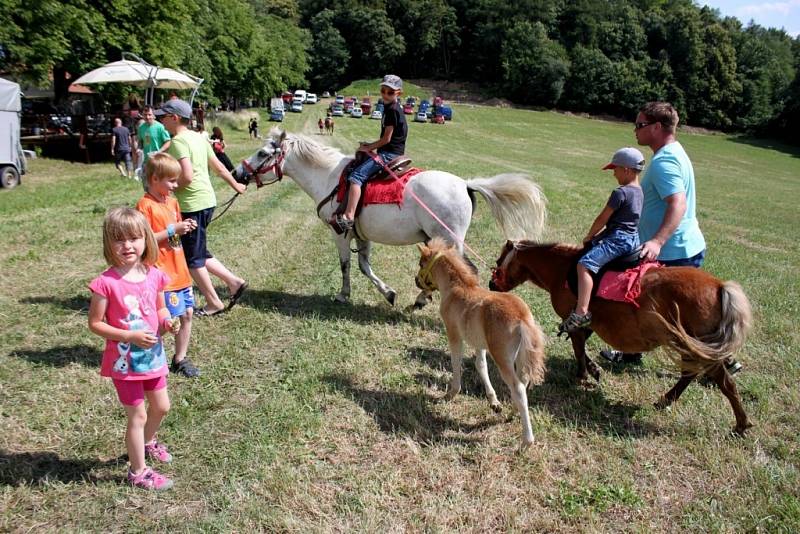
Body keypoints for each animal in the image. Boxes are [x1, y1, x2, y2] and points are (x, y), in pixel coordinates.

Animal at [231, 129, 544, 310]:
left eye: (262, 152)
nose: (237, 173)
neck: (330, 177)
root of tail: (466, 184)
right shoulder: (361, 235)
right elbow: (363, 266)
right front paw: (389, 294)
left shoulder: (339, 232)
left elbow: (345, 266)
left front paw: (343, 295)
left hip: (450, 240)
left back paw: (424, 300)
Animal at [416, 240, 548, 452]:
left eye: (421, 264)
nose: (416, 281)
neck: (458, 287)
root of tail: (523, 319)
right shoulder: (479, 343)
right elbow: (481, 366)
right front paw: (493, 402)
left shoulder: (454, 334)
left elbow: (456, 362)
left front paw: (449, 394)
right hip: (521, 357)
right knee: (524, 383)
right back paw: (513, 412)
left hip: (502, 357)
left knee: (518, 387)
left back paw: (526, 442)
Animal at [490, 241, 752, 438]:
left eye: (499, 262)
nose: (492, 284)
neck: (562, 270)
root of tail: (719, 286)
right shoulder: (588, 323)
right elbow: (582, 347)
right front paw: (594, 370)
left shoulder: (573, 319)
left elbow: (578, 348)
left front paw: (582, 375)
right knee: (689, 374)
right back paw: (665, 400)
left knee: (724, 383)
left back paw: (741, 425)